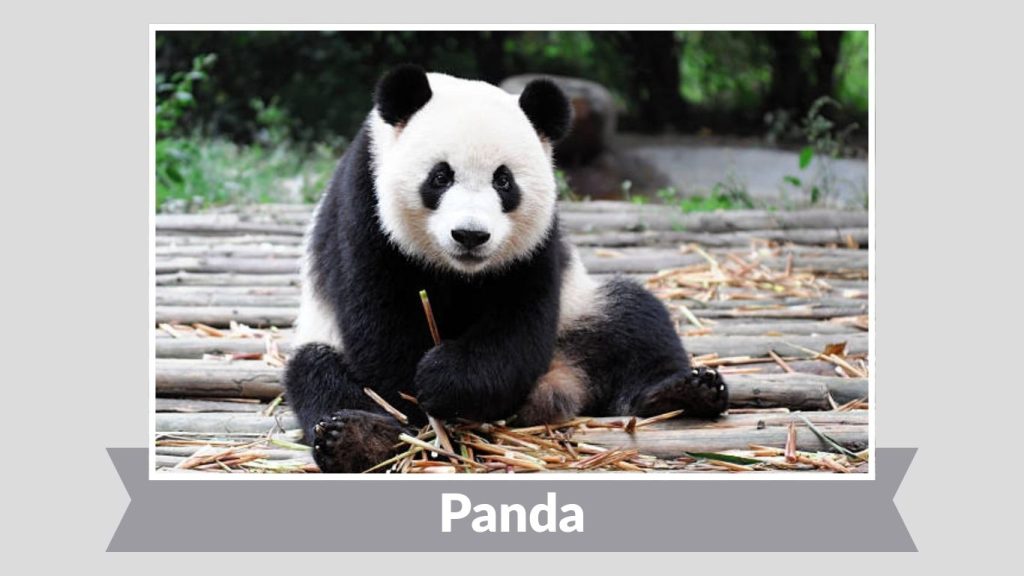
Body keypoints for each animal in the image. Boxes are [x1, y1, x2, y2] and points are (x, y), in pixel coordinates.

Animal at [284, 65, 728, 473]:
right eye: (440, 176)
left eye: (504, 181)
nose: (470, 235)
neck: (458, 270)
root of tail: (563, 382)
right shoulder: (364, 208)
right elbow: (381, 321)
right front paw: (419, 409)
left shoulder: (537, 244)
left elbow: (519, 324)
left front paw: (444, 382)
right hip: (320, 333)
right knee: (316, 373)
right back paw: (358, 439)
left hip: (580, 312)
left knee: (634, 319)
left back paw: (684, 391)